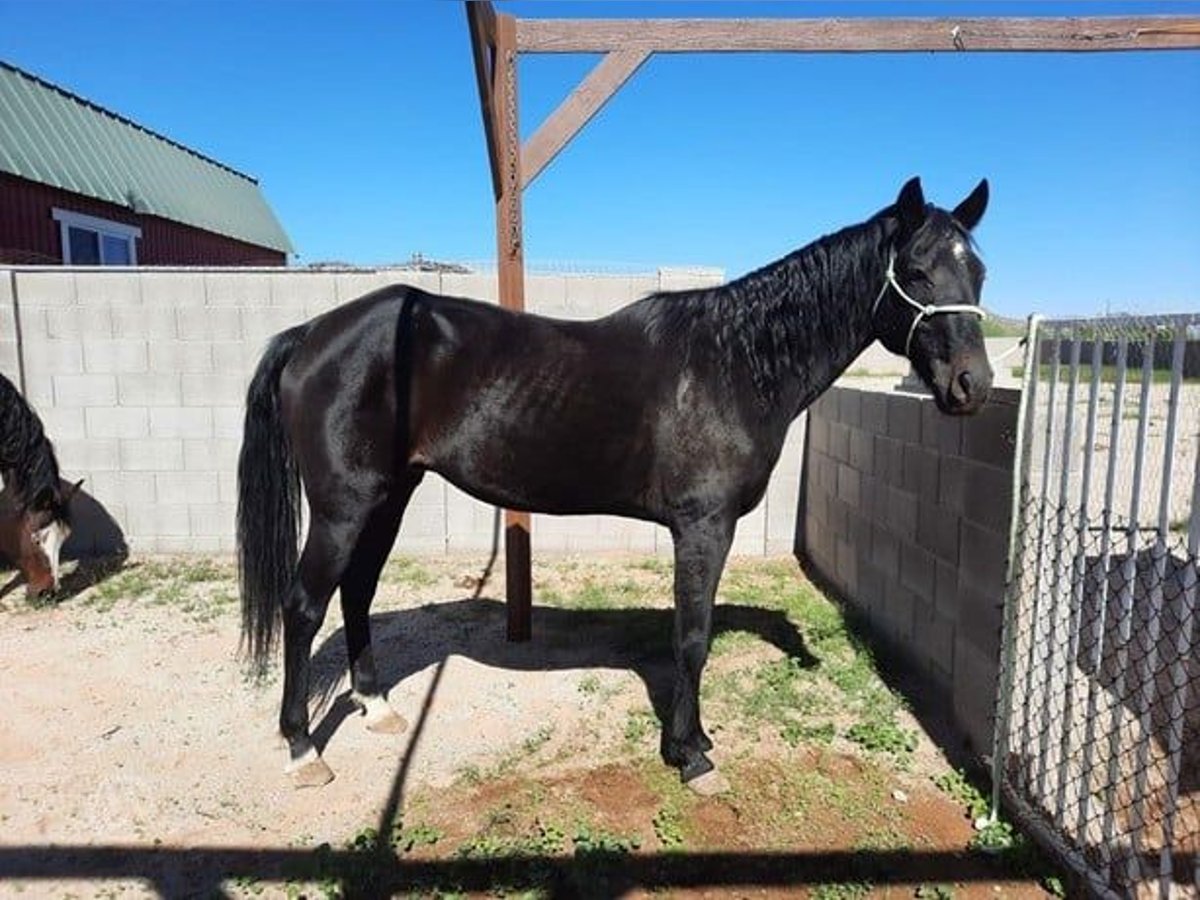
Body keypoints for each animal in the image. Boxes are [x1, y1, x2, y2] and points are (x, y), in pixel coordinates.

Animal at [237, 176, 994, 793]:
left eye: (979, 272)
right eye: (917, 271)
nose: (973, 386)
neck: (734, 363)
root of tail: (312, 332)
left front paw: (696, 739)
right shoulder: (703, 526)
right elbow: (692, 637)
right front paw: (691, 755)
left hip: (389, 496)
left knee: (357, 590)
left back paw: (376, 708)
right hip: (343, 505)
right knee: (305, 605)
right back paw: (302, 750)